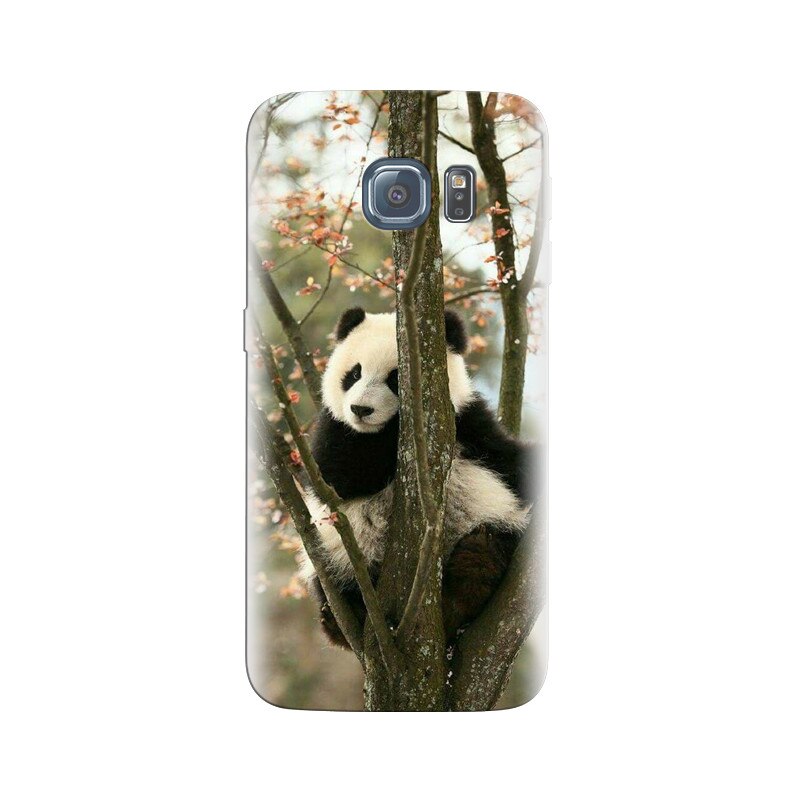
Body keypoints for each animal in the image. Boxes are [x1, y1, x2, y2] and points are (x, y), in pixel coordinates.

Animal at [299, 306, 535, 647]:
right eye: (354, 374)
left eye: (395, 379)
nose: (360, 409)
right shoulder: (334, 432)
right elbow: (339, 476)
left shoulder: (471, 424)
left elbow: (512, 463)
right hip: (339, 554)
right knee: (331, 581)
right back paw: (339, 620)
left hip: (493, 524)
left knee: (489, 544)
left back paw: (467, 585)